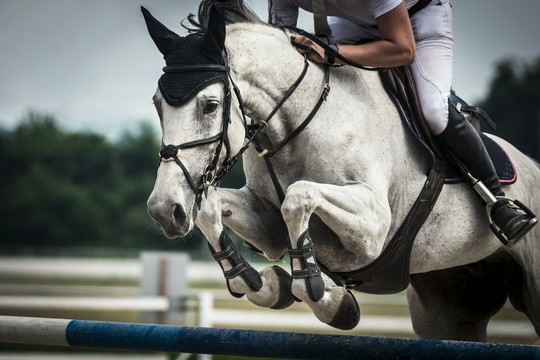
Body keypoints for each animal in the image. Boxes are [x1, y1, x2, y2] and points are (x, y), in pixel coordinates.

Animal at [142, 2, 540, 340]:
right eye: (157, 104)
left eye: (210, 105)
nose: (164, 211)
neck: (299, 122)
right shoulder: (268, 225)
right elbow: (210, 209)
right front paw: (264, 284)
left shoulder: (374, 227)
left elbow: (298, 196)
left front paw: (326, 297)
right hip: (447, 303)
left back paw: (509, 216)